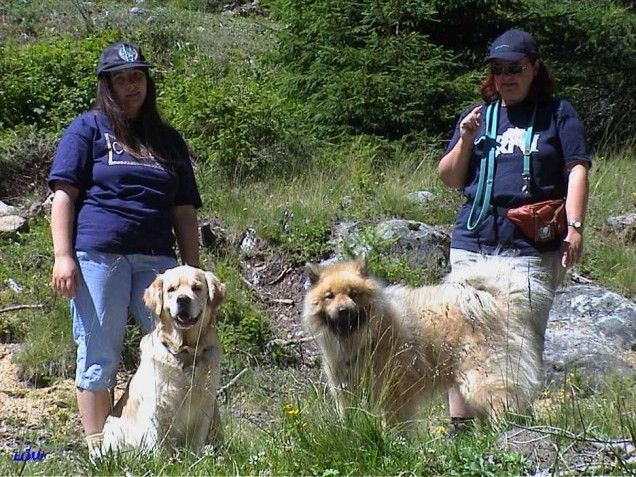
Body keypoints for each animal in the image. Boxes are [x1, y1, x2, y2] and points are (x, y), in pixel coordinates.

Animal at [102, 266, 226, 452]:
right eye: (171, 289)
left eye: (196, 288)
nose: (183, 299)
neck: (185, 352)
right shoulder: (157, 406)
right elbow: (157, 445)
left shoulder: (205, 404)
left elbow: (196, 443)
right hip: (113, 429)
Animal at [304, 255, 552, 426]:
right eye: (329, 296)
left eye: (353, 294)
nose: (343, 310)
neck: (364, 340)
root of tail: (499, 301)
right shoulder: (346, 394)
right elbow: (350, 422)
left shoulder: (393, 395)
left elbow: (394, 426)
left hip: (482, 380)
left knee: (507, 405)